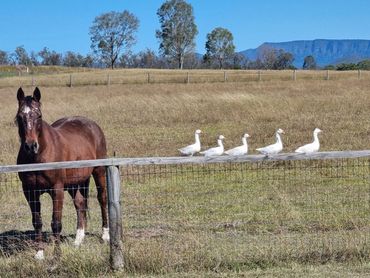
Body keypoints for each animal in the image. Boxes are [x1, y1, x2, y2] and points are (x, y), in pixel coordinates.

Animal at [16, 87, 108, 258]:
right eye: (20, 116)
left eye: (39, 115)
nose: (31, 146)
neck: (39, 156)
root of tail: (92, 124)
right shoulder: (30, 191)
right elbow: (37, 222)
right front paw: (39, 254)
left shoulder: (57, 189)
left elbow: (56, 223)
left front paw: (57, 255)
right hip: (74, 182)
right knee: (80, 203)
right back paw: (78, 240)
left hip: (99, 172)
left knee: (102, 199)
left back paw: (105, 236)